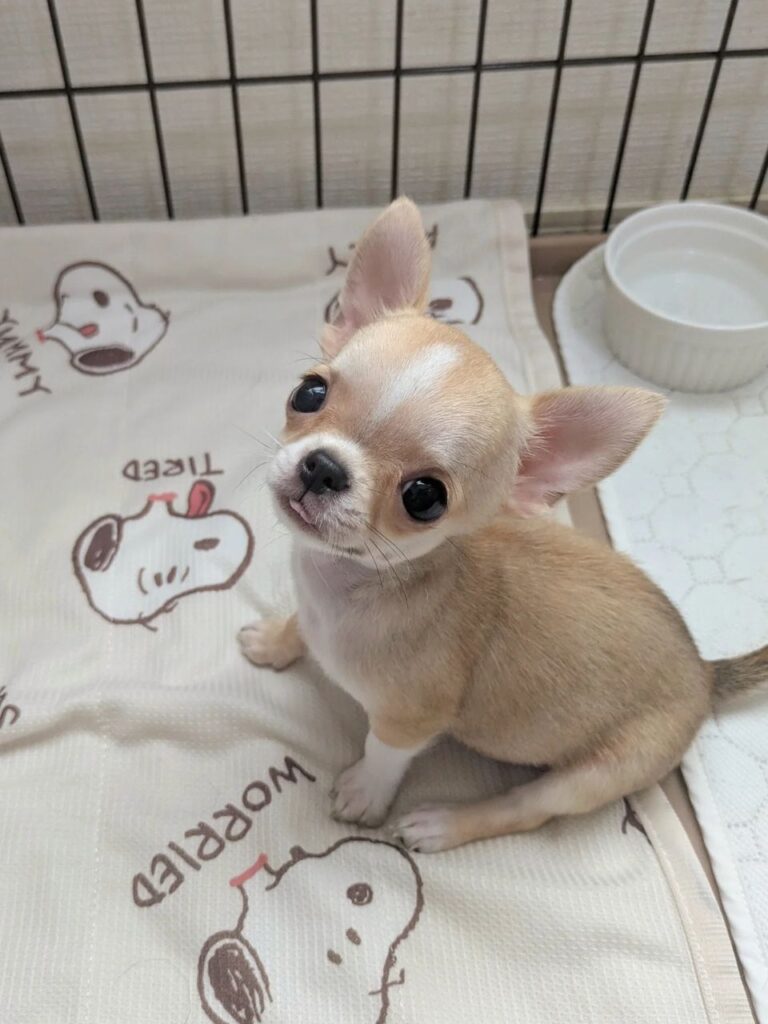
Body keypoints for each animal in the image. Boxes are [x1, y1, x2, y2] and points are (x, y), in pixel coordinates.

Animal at [239, 198, 768, 853]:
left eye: (423, 498)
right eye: (309, 393)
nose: (323, 466)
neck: (345, 582)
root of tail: (704, 673)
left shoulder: (410, 719)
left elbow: (383, 751)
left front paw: (365, 793)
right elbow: (297, 624)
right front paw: (275, 640)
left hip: (591, 775)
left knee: (528, 810)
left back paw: (445, 823)